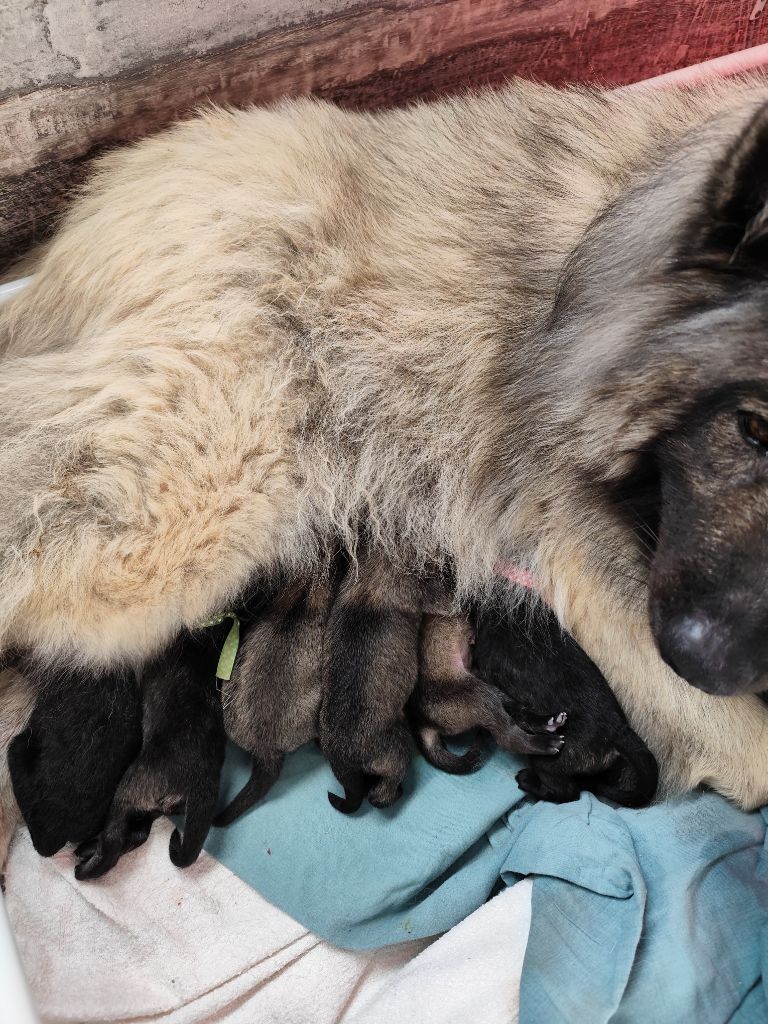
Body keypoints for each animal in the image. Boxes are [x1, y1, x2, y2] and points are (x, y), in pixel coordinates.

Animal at [76, 622, 230, 880]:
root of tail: (201, 783)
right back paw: (86, 849)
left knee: (113, 839)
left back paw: (87, 867)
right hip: (151, 807)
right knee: (136, 834)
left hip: (132, 787)